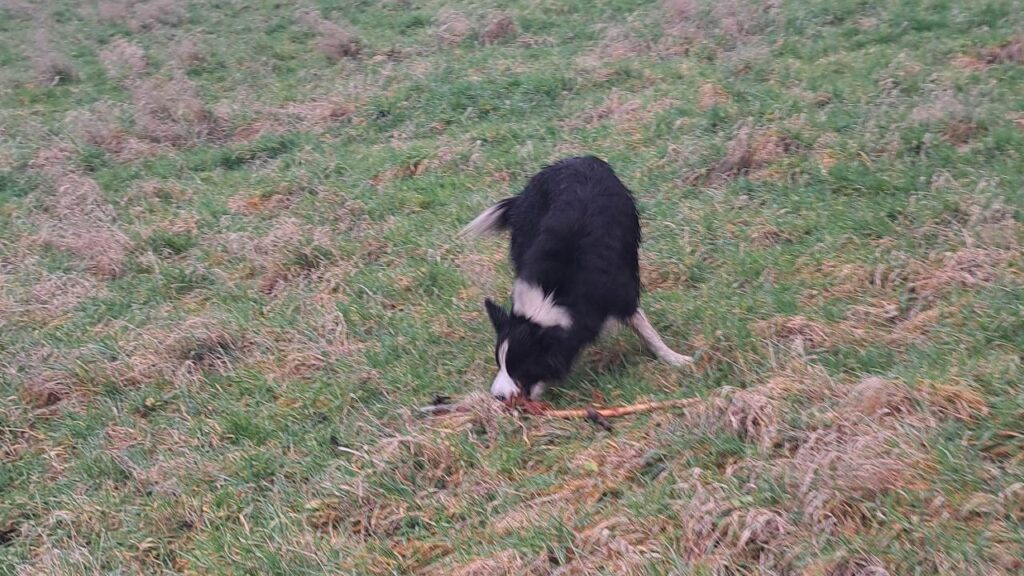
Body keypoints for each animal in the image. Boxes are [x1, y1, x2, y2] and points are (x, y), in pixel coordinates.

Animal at [460, 155, 692, 399]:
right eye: (500, 364)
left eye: (520, 369)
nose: (497, 396)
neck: (554, 292)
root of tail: (574, 160)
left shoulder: (621, 291)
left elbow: (647, 330)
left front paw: (676, 359)